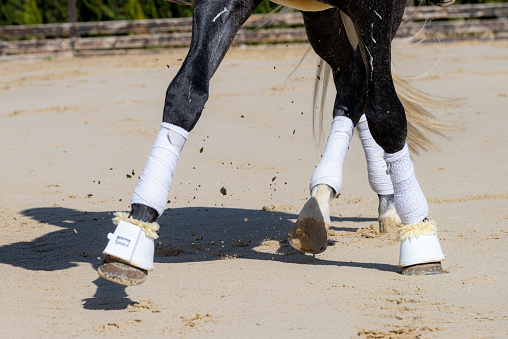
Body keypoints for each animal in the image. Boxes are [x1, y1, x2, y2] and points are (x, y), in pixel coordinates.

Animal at [97, 0, 454, 286]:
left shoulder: (378, 10)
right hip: (322, 17)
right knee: (352, 79)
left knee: (363, 84)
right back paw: (325, 204)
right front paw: (134, 234)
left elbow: (387, 115)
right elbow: (186, 93)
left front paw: (419, 242)